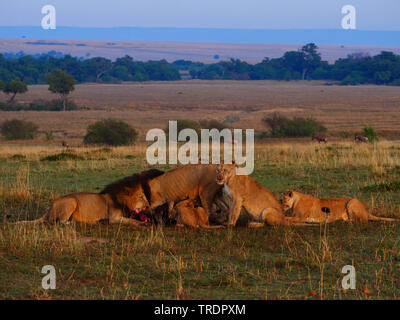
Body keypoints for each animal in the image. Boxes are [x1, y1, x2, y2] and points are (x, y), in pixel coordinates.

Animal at [15, 169, 162, 224]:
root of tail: (49, 209)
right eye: (141, 197)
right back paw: (72, 222)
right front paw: (144, 223)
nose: (148, 206)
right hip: (71, 201)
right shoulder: (114, 218)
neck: (122, 199)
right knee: (59, 221)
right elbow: (134, 221)